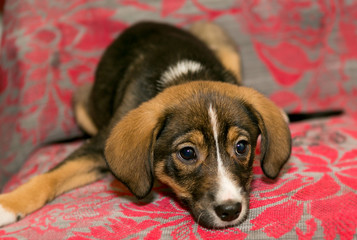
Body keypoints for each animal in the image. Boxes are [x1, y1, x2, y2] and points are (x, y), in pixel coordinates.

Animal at [0, 22, 290, 229]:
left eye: (241, 147)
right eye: (187, 153)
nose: (230, 211)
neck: (183, 75)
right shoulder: (97, 146)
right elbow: (51, 176)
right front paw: (9, 204)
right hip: (82, 102)